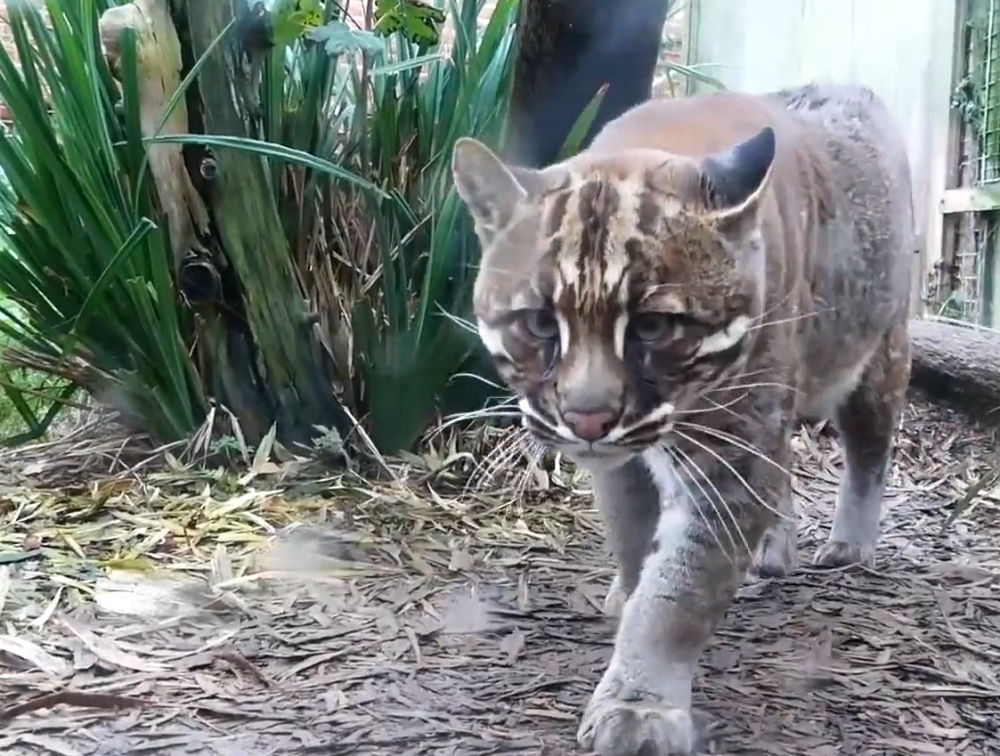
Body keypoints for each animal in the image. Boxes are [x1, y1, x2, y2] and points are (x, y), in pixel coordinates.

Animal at [454, 82, 916, 756]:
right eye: (539, 323)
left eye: (652, 326)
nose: (587, 417)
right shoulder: (626, 463)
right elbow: (632, 534)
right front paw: (628, 595)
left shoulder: (732, 451)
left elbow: (681, 593)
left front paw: (639, 704)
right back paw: (774, 548)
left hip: (877, 353)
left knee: (868, 450)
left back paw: (850, 544)